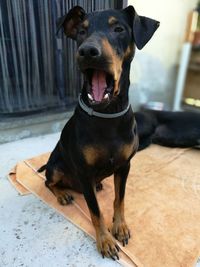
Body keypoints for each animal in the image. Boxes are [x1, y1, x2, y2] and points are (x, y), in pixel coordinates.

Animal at [37, 5, 159, 260]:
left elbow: (119, 199)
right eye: (81, 32)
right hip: (56, 166)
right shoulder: (84, 172)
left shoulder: (124, 166)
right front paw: (105, 240)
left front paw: (120, 227)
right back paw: (62, 194)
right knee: (48, 182)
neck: (107, 113)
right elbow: (95, 211)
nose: (87, 51)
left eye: (119, 29)